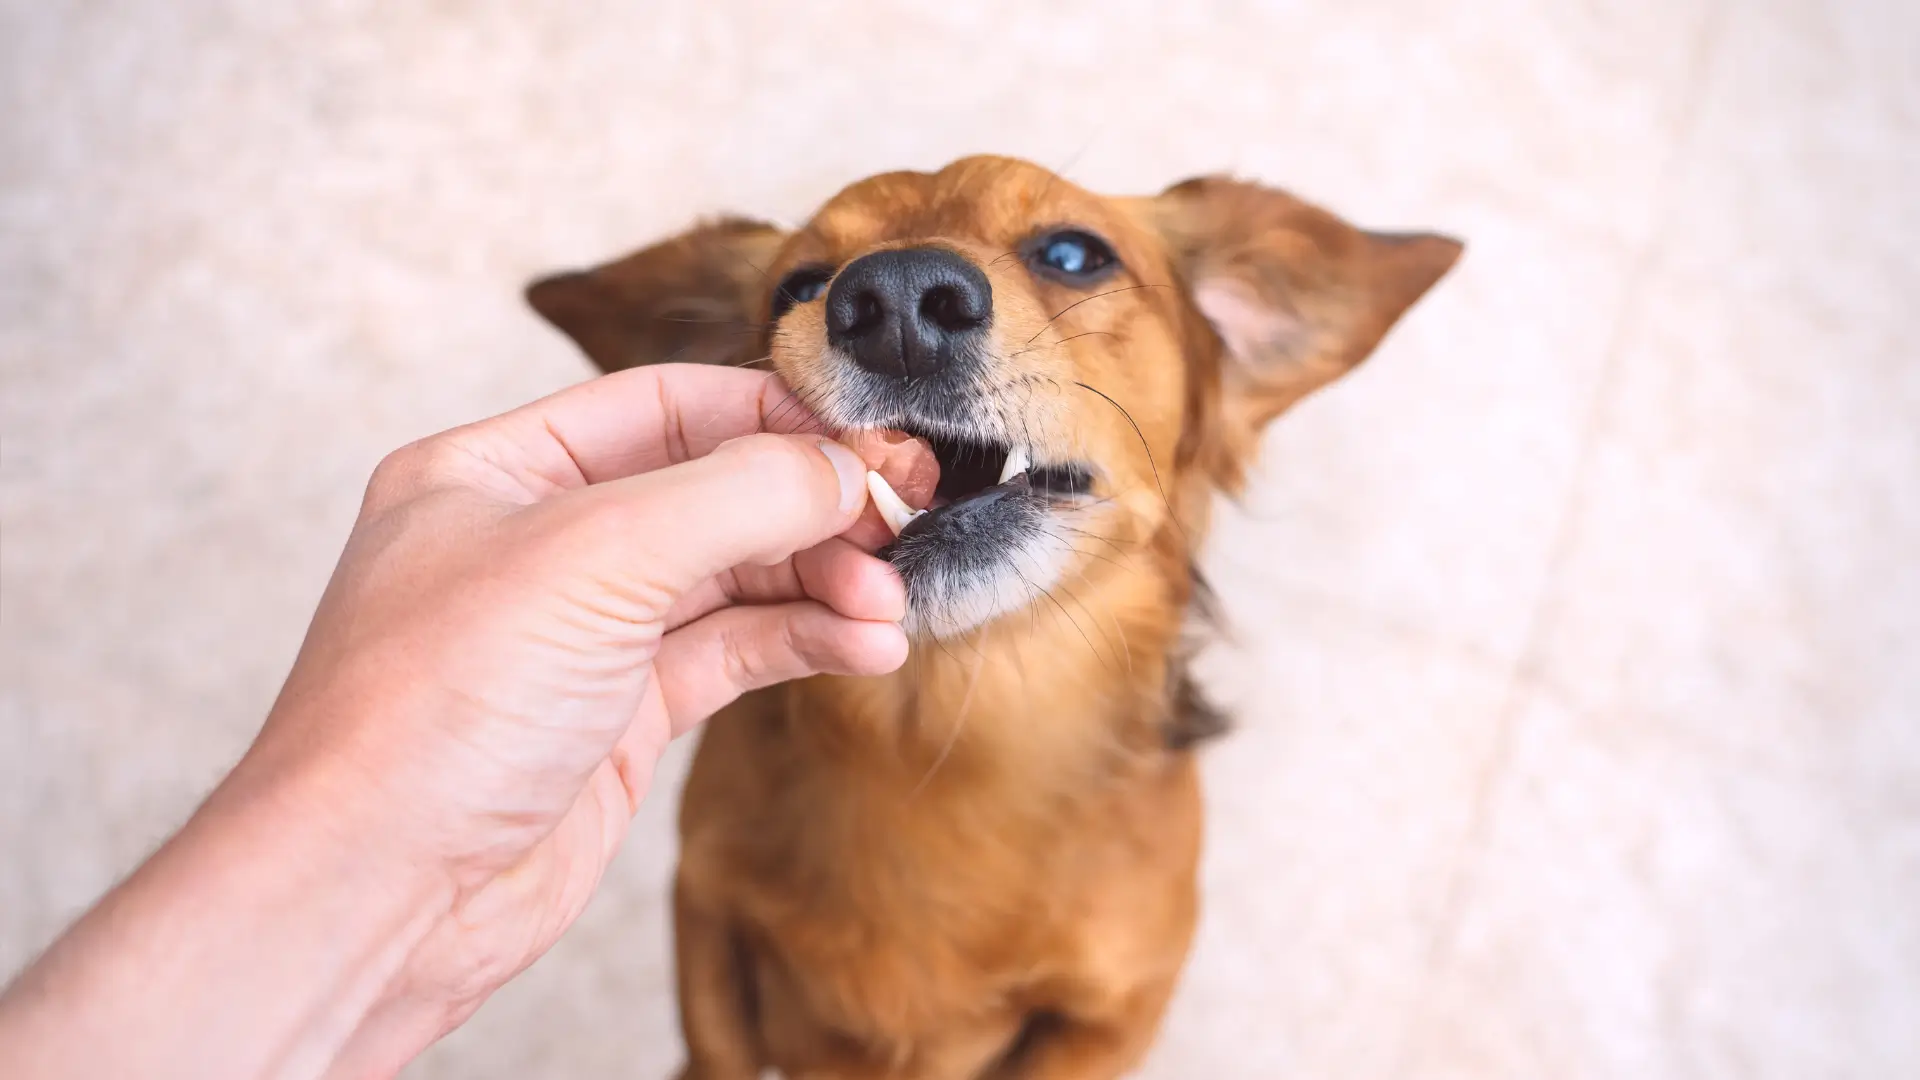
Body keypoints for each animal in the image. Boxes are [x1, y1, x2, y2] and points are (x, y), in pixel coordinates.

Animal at [526, 155, 1451, 1068]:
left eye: (1074, 255)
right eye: (799, 285)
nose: (893, 298)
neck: (950, 728)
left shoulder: (1114, 1017)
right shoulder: (703, 907)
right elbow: (716, 1051)